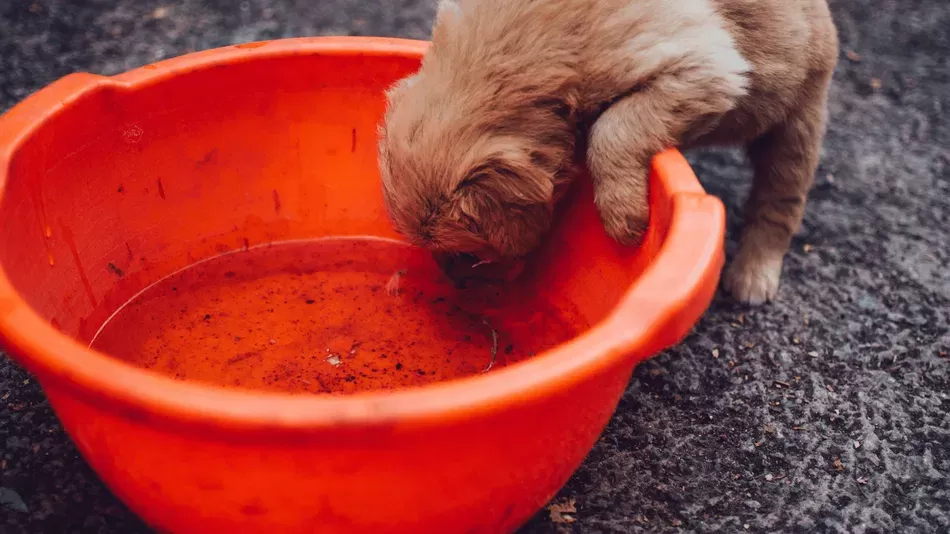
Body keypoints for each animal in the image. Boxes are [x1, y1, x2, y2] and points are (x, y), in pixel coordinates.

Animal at [380, 0, 840, 306]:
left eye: (468, 253)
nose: (455, 283)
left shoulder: (703, 69)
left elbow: (613, 130)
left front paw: (623, 217)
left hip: (798, 119)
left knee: (780, 202)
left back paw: (753, 274)